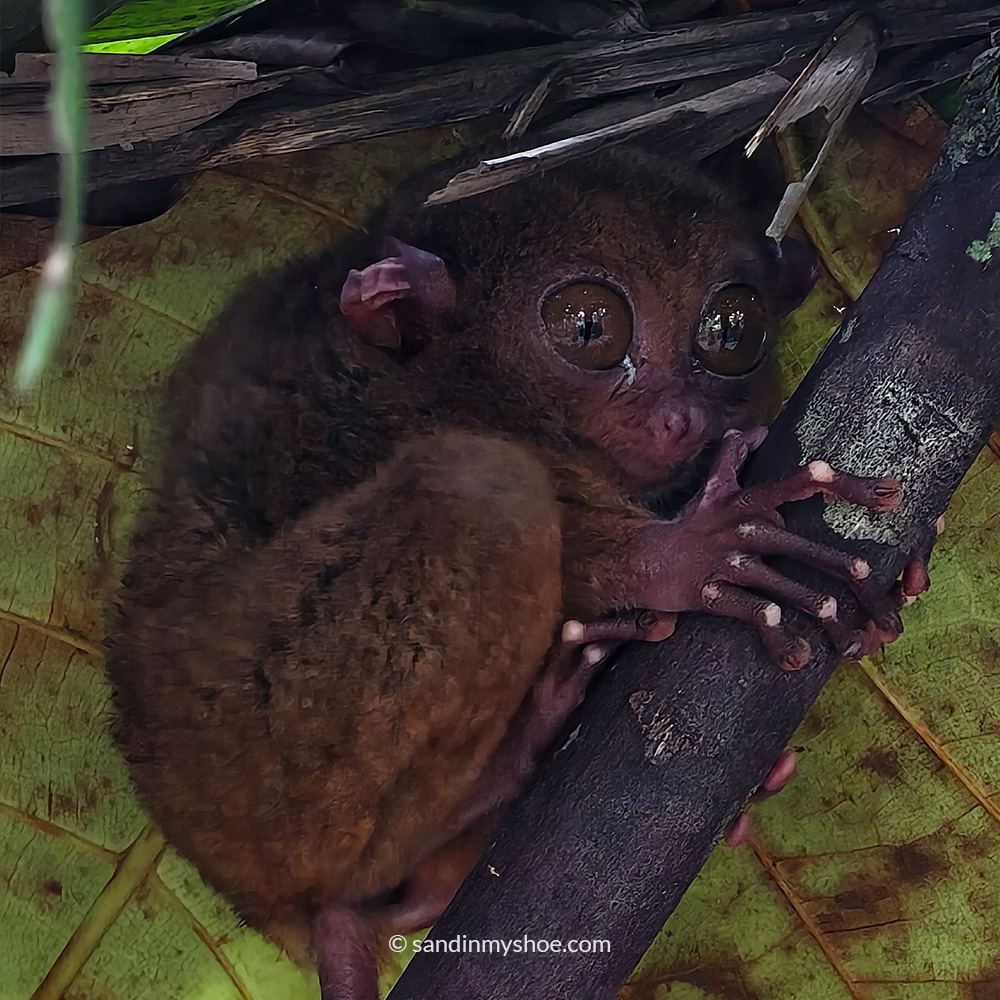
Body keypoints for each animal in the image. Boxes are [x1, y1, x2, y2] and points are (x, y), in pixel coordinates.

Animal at [106, 143, 922, 999]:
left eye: (732, 331)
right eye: (590, 328)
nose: (682, 418)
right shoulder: (364, 409)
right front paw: (692, 554)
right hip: (253, 768)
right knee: (480, 487)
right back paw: (509, 761)